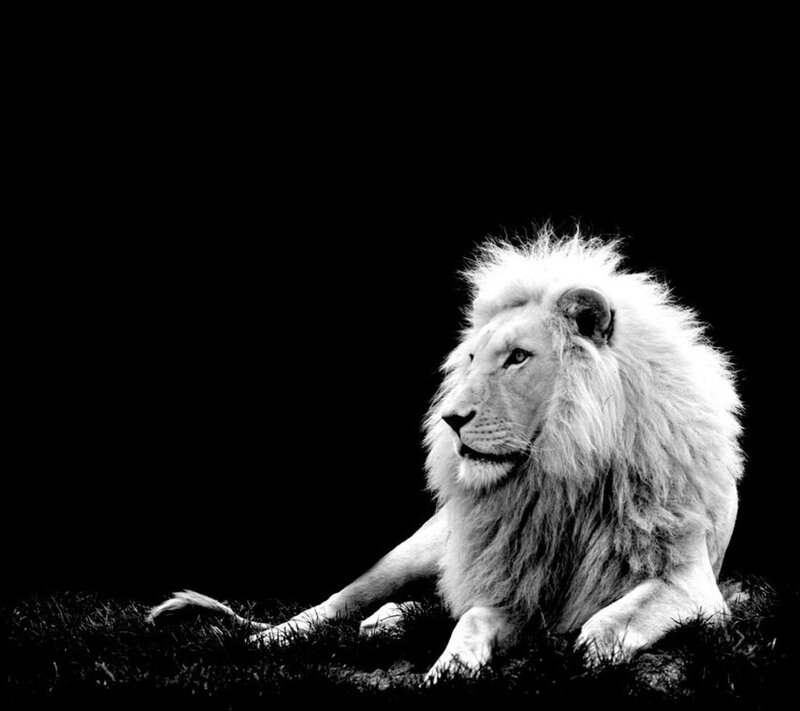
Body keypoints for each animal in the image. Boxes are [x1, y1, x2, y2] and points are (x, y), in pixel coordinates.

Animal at [149, 230, 743, 682]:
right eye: (474, 359)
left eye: (518, 358)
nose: (450, 419)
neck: (563, 475)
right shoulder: (509, 584)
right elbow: (470, 621)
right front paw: (450, 670)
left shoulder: (692, 585)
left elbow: (608, 621)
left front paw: (587, 651)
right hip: (413, 552)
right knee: (336, 604)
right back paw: (269, 641)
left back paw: (386, 623)